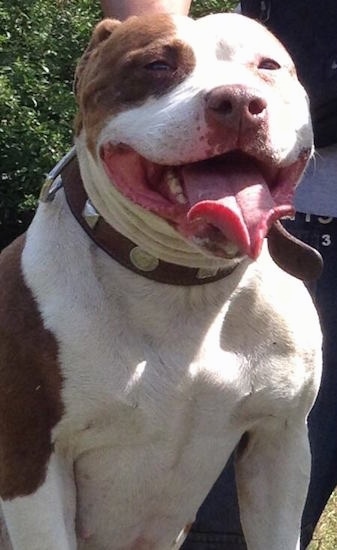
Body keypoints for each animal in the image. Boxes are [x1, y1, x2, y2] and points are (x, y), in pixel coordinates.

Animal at [0, 12, 320, 550]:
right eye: (156, 65)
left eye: (268, 66)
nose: (238, 102)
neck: (184, 285)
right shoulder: (31, 459)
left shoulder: (281, 439)